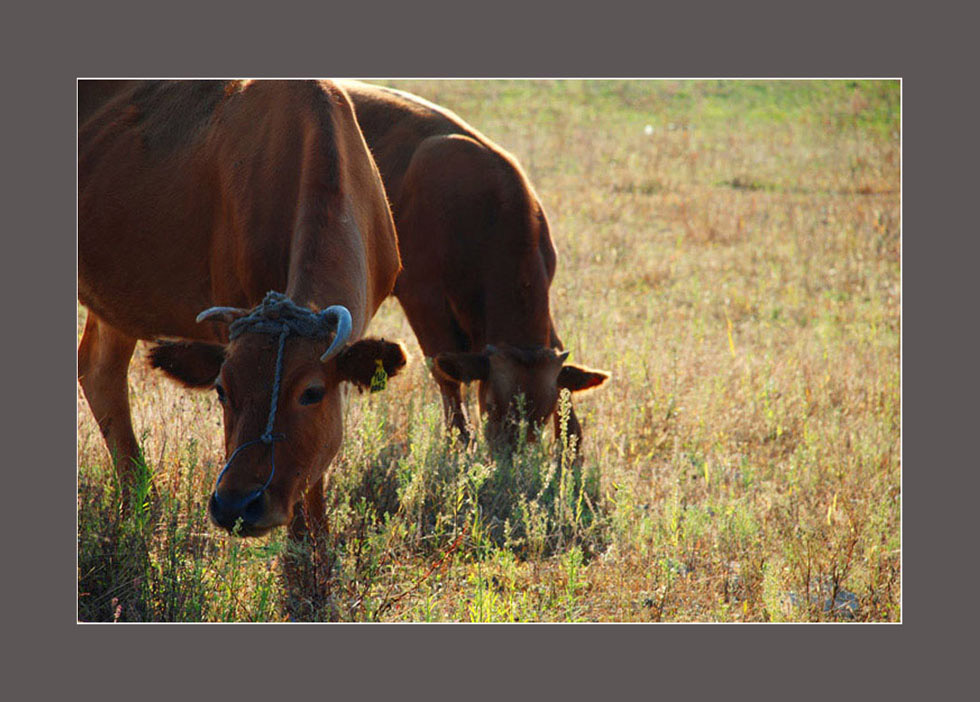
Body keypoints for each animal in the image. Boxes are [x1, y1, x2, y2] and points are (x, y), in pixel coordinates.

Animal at [340, 82, 608, 454]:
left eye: (543, 413)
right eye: (491, 406)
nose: (510, 459)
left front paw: (573, 448)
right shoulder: (422, 298)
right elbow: (445, 372)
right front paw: (460, 445)